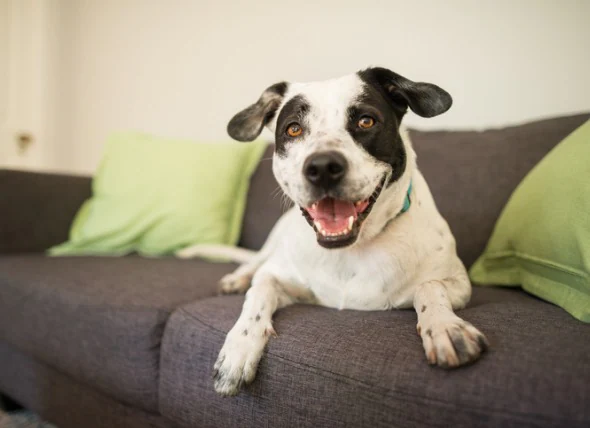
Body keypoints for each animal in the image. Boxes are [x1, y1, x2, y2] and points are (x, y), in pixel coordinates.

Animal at [179, 65, 490, 396]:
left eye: (366, 121)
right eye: (293, 129)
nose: (322, 167)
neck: (351, 249)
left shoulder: (459, 283)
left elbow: (429, 287)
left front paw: (446, 328)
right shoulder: (282, 277)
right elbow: (259, 291)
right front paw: (239, 347)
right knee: (254, 263)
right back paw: (236, 278)